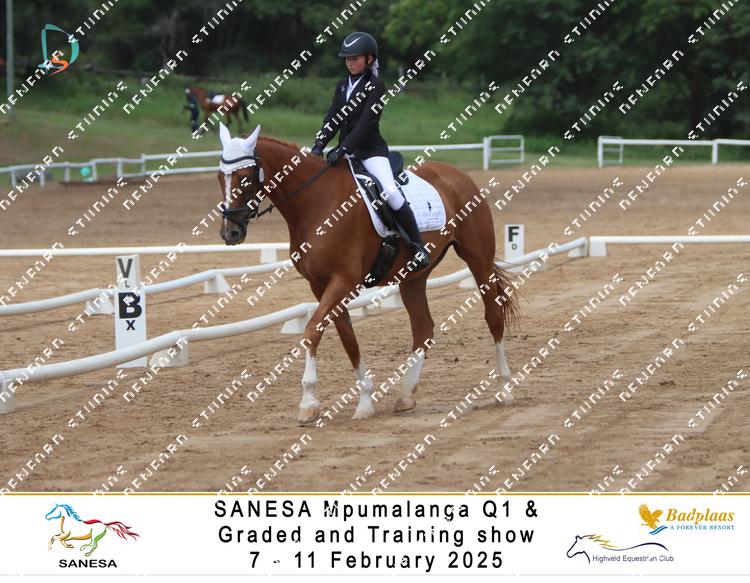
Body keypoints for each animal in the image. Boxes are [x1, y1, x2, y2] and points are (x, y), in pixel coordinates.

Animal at [216, 122, 519, 424]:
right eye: (220, 177)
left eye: (245, 178)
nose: (230, 233)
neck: (317, 202)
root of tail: (458, 175)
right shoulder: (320, 285)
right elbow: (347, 338)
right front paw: (364, 401)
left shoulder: (343, 281)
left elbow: (312, 329)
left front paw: (308, 402)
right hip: (414, 276)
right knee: (423, 327)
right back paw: (405, 396)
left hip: (478, 260)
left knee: (493, 316)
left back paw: (505, 389)